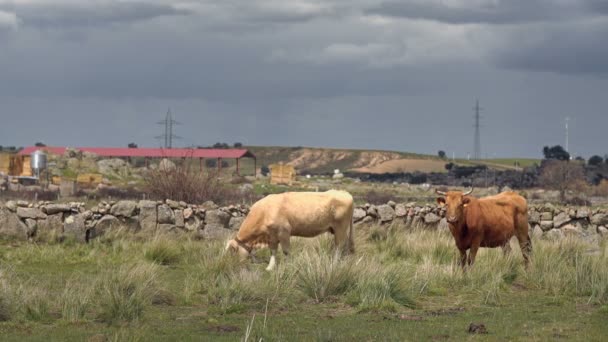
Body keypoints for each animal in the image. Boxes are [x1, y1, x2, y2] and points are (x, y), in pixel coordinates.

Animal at [226, 190, 354, 270]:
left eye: (233, 250)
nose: (234, 264)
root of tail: (343, 192)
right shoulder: (272, 236)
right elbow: (273, 251)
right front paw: (270, 267)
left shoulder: (284, 231)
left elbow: (286, 251)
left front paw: (289, 266)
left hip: (341, 228)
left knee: (339, 246)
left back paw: (335, 263)